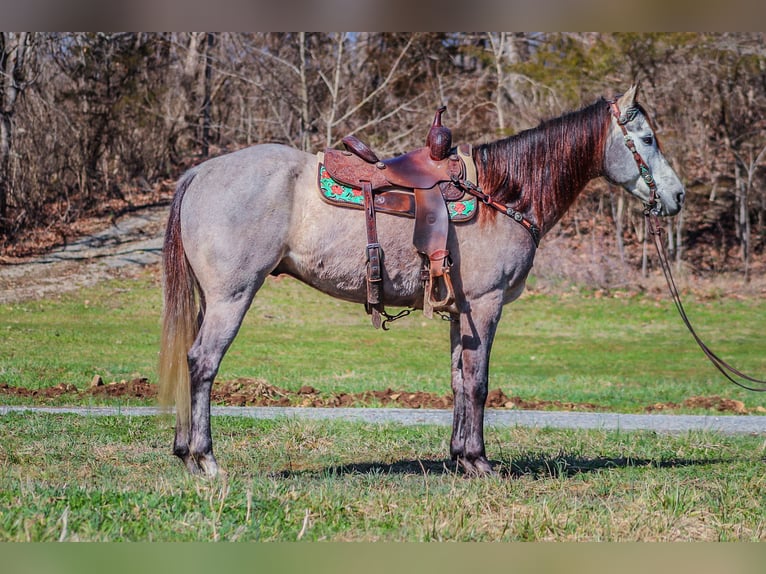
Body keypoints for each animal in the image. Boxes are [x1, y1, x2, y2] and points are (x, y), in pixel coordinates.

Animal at [159, 84, 688, 476]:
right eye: (646, 139)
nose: (678, 196)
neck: (502, 192)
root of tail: (200, 172)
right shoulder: (485, 305)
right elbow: (478, 383)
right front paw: (480, 461)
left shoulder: (461, 311)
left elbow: (458, 380)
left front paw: (460, 459)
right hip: (232, 296)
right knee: (204, 363)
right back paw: (206, 460)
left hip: (212, 300)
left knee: (191, 360)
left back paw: (185, 453)